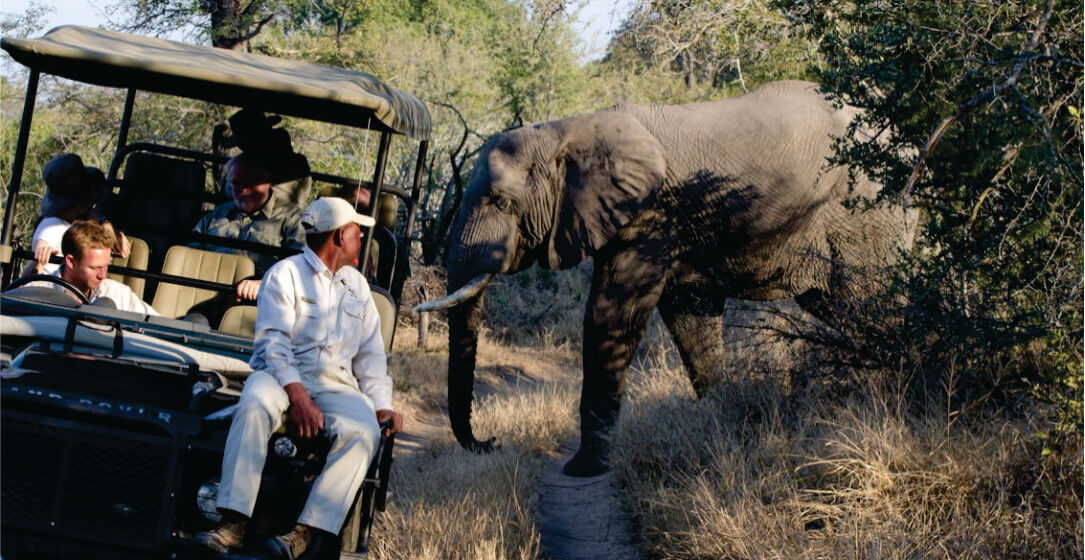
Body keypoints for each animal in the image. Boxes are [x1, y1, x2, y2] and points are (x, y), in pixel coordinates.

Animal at [417, 80, 917, 477]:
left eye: (501, 202)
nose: (490, 442)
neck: (565, 131)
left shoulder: (650, 214)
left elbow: (612, 314)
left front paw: (583, 468)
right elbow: (689, 314)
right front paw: (716, 420)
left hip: (865, 215)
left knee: (870, 303)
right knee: (844, 308)